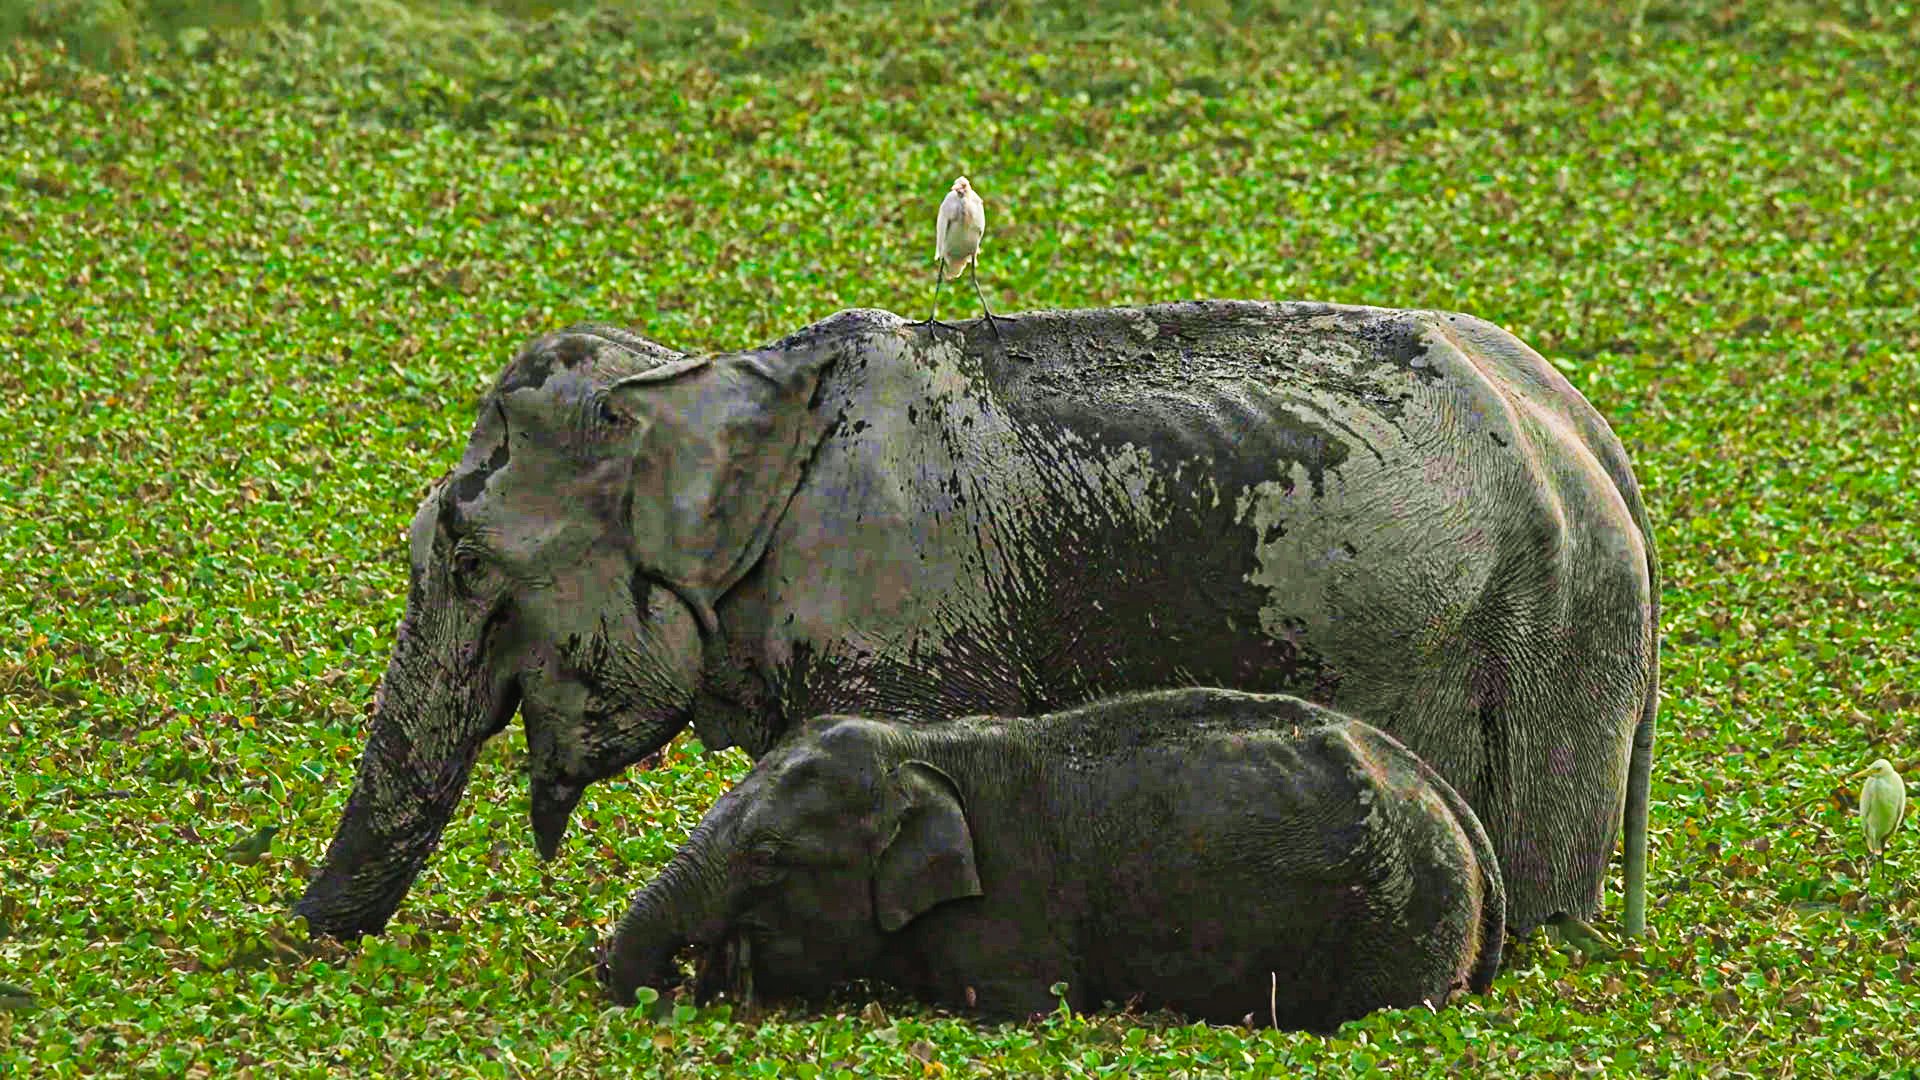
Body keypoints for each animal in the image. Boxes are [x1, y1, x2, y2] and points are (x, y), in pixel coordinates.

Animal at [294, 301, 1658, 944]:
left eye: (467, 558)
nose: (297, 943)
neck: (715, 377)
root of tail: (1594, 436)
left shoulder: (905, 617)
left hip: (1554, 643)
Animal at [596, 688, 1508, 1031]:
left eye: (768, 855)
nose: (674, 984)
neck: (926, 745)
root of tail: (1451, 802)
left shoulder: (1010, 910)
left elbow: (1016, 1010)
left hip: (1401, 917)